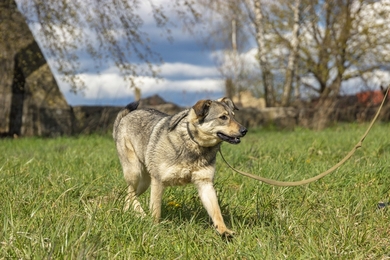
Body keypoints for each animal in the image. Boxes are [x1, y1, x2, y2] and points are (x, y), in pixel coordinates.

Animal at [112, 97, 247, 236]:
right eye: (223, 117)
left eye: (233, 116)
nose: (244, 130)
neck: (194, 143)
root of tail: (124, 117)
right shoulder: (158, 181)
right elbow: (156, 210)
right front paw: (155, 229)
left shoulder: (205, 183)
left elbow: (216, 211)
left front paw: (224, 231)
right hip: (135, 173)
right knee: (130, 193)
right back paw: (141, 214)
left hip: (145, 182)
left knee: (129, 195)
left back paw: (131, 212)